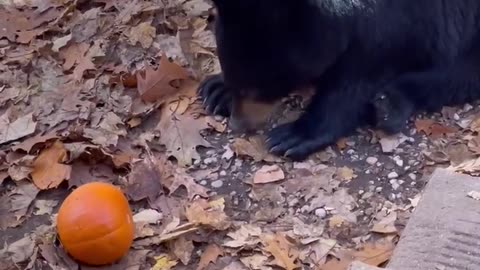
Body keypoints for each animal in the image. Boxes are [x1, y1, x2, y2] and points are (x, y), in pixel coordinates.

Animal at [197, 0, 480, 160]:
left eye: (260, 89)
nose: (238, 125)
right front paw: (217, 89)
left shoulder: (398, 20)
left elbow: (358, 78)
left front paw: (294, 136)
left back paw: (390, 103)